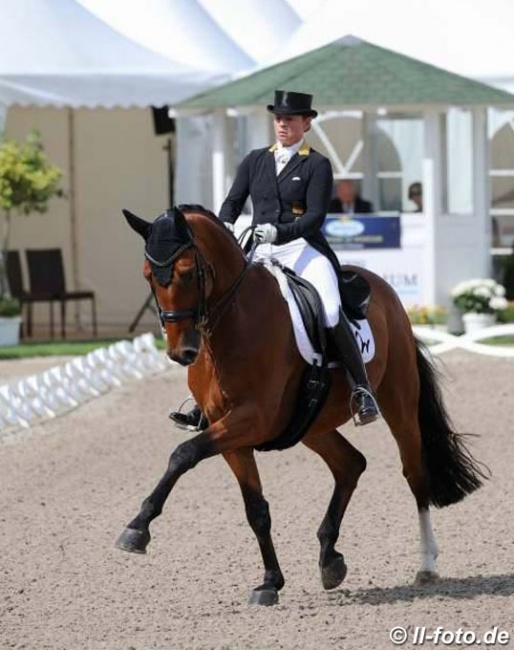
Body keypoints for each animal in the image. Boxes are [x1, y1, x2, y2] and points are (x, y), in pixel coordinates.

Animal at [116, 205, 484, 604]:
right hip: (310, 424)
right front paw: (269, 582)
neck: (234, 323)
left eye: (185, 272)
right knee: (351, 465)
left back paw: (426, 564)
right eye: (148, 275)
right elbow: (256, 509)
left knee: (415, 475)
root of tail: (385, 291)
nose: (181, 352)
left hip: (398, 404)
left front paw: (136, 529)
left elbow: (183, 454)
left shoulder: (251, 419)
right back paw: (330, 560)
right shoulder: (228, 431)